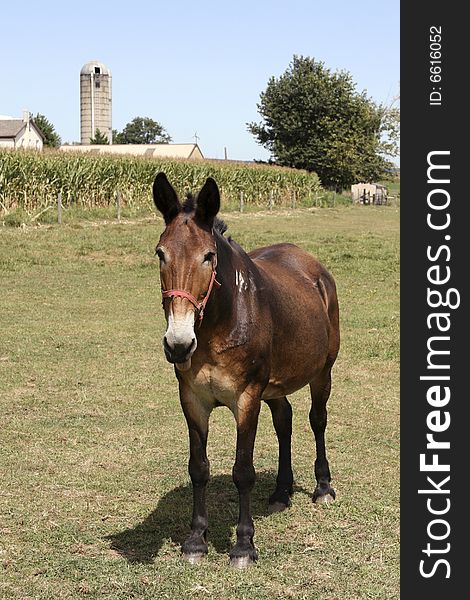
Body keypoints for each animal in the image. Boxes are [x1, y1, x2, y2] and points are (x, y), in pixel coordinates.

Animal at [152, 172, 340, 568]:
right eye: (160, 254)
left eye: (208, 256)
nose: (179, 344)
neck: (221, 322)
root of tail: (314, 267)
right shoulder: (192, 401)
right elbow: (198, 468)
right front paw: (196, 540)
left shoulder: (247, 399)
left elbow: (243, 471)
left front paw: (243, 546)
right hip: (275, 387)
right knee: (284, 421)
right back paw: (282, 492)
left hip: (322, 373)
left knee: (317, 420)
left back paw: (323, 487)